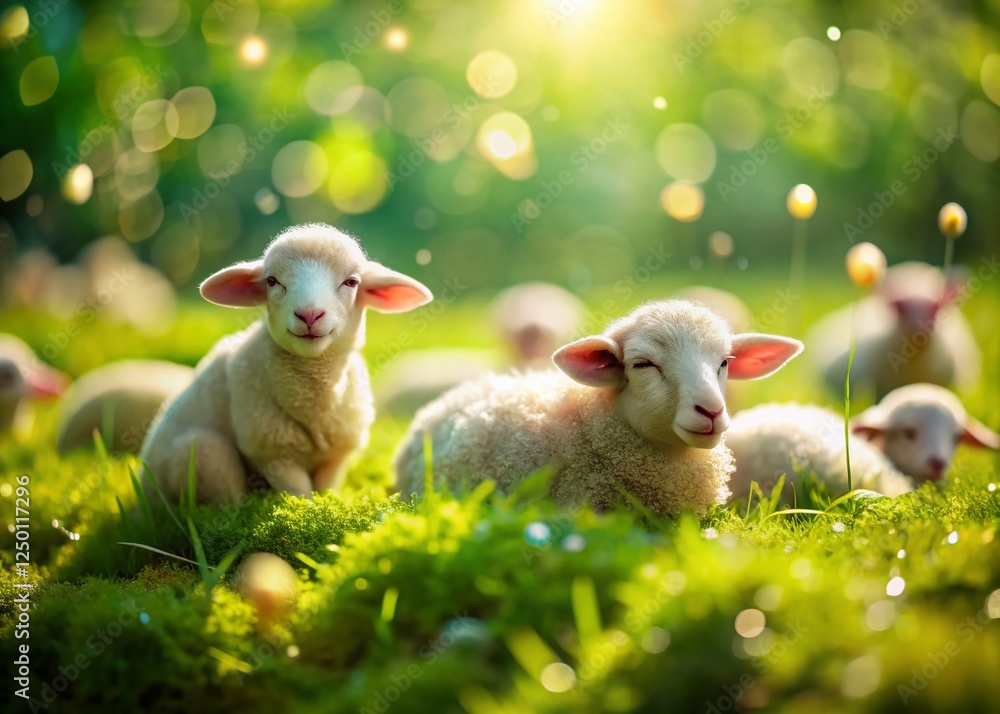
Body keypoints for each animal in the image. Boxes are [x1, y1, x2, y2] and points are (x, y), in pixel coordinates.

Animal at [139, 224, 433, 503]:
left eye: (351, 282)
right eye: (272, 281)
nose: (309, 315)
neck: (315, 405)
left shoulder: (337, 454)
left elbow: (326, 489)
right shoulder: (271, 452)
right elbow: (299, 492)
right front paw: (306, 509)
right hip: (205, 452)